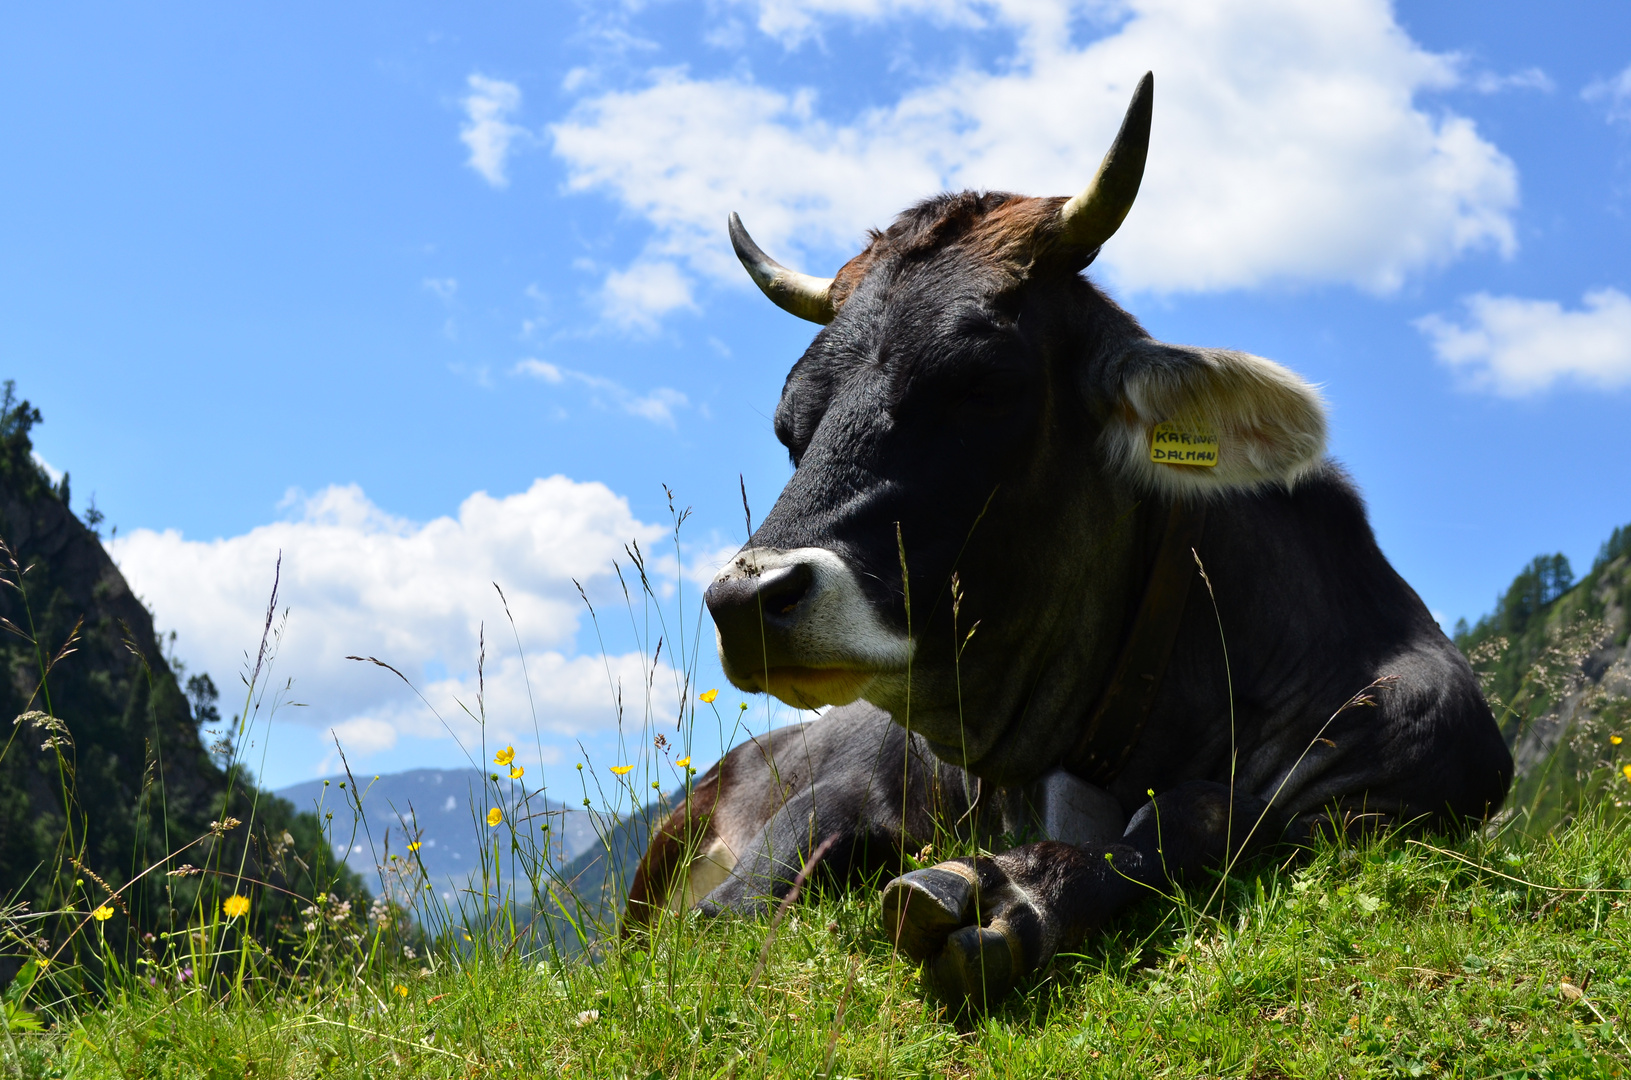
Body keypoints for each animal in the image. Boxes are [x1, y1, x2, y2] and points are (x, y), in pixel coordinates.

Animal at [623, 74, 1513, 1004]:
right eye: (791, 424)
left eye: (983, 384)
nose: (747, 599)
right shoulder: (829, 799)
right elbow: (728, 908)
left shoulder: (1398, 781)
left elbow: (1206, 813)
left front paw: (1017, 893)